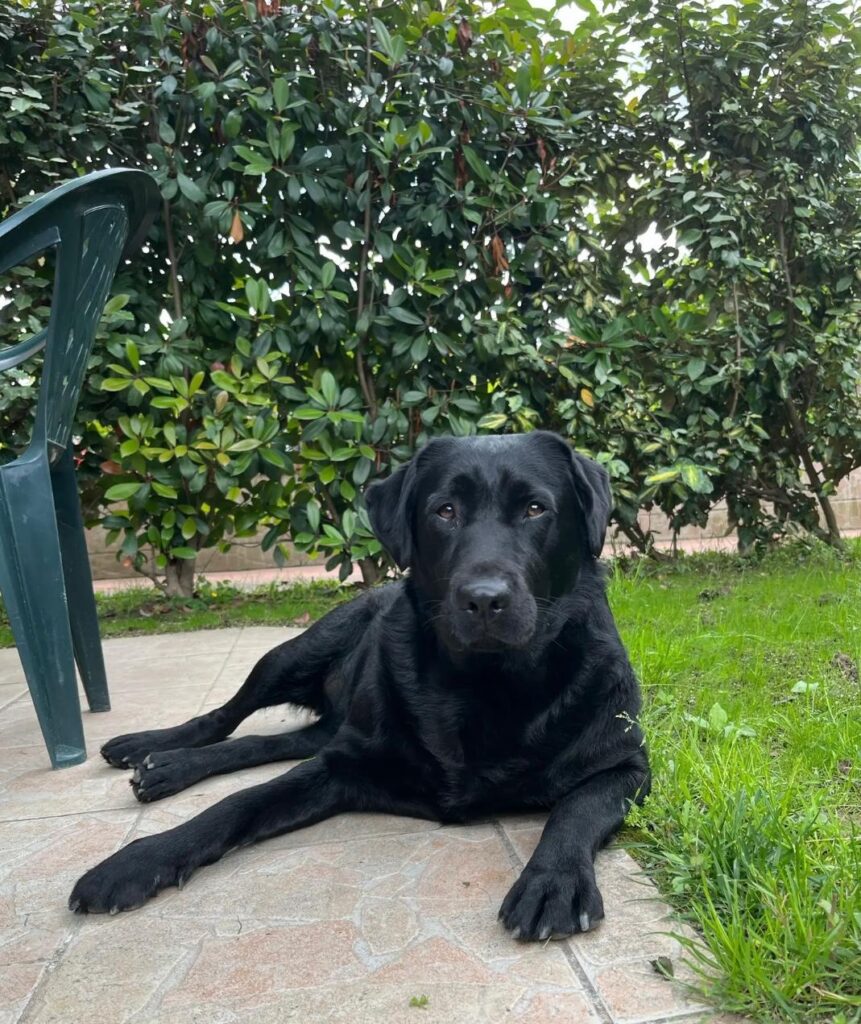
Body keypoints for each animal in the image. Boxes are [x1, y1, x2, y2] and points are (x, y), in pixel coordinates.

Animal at [69, 428, 647, 937]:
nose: (484, 599)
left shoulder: (626, 768)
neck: (484, 684)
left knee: (270, 742)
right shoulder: (340, 764)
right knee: (226, 717)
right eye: (445, 511)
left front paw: (554, 881)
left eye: (535, 509)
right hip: (292, 655)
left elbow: (575, 809)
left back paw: (166, 767)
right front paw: (142, 858)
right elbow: (238, 803)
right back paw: (155, 751)